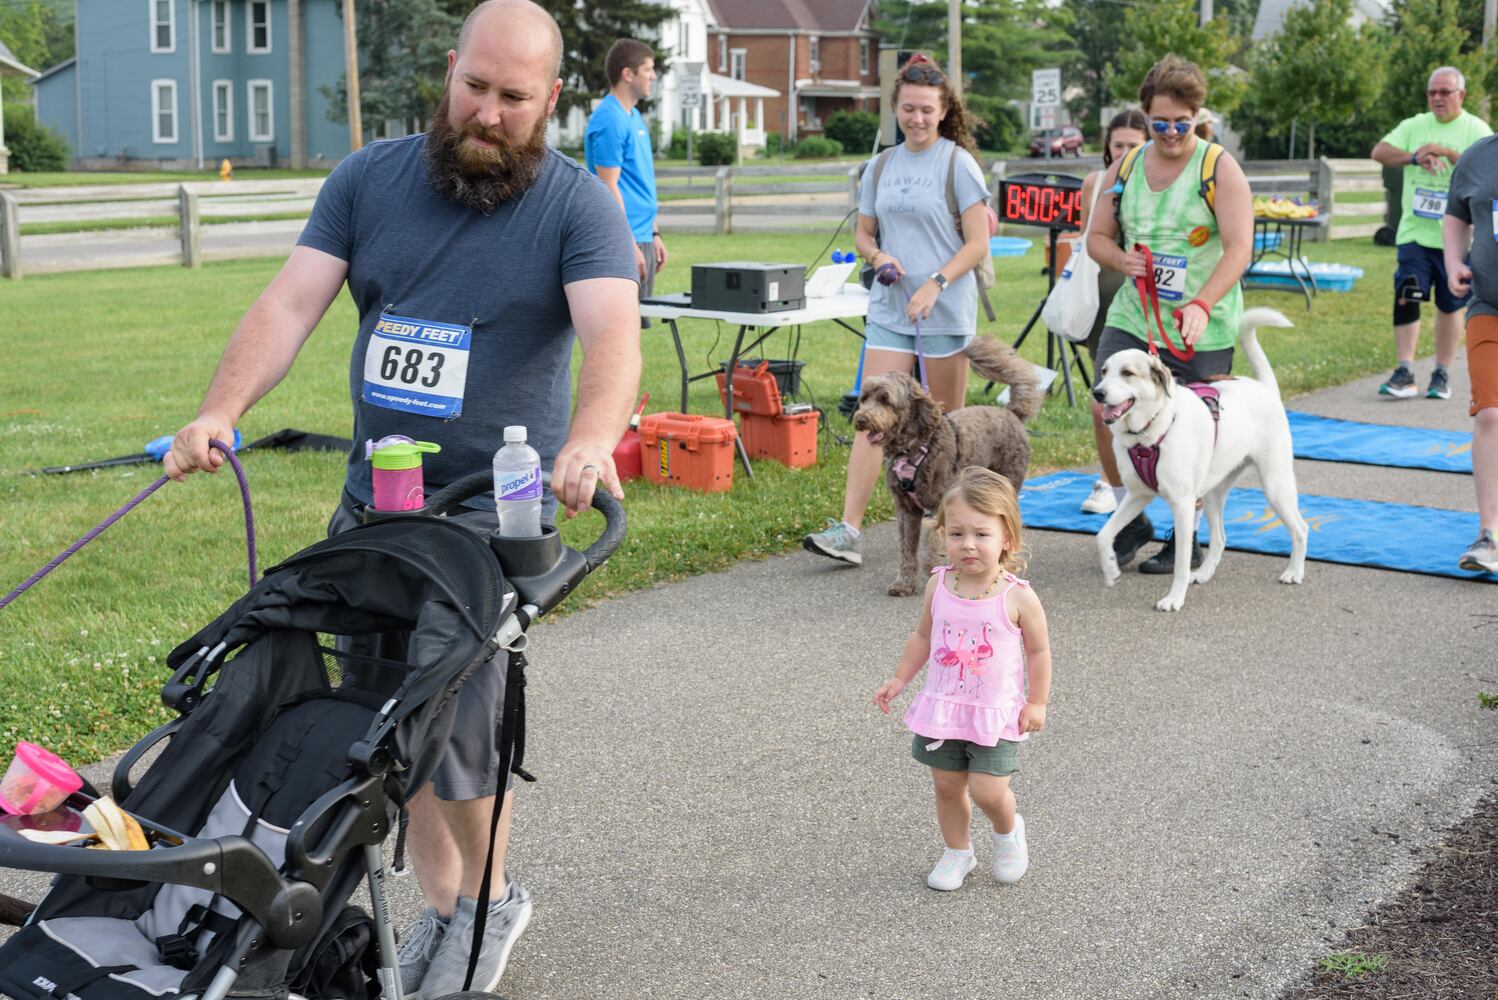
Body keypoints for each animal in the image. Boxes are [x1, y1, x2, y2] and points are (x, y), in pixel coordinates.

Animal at [1090, 308, 1312, 613]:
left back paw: (1294, 572)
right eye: (1104, 371)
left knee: (1301, 528)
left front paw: (1174, 599)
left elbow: (1181, 564)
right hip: (1213, 494)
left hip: (1275, 485)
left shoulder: (1182, 506)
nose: (1097, 392)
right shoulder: (1137, 495)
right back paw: (1204, 574)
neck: (1150, 431)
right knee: (1220, 538)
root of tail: (1265, 388)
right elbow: (1103, 535)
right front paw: (1111, 569)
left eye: (1127, 373)